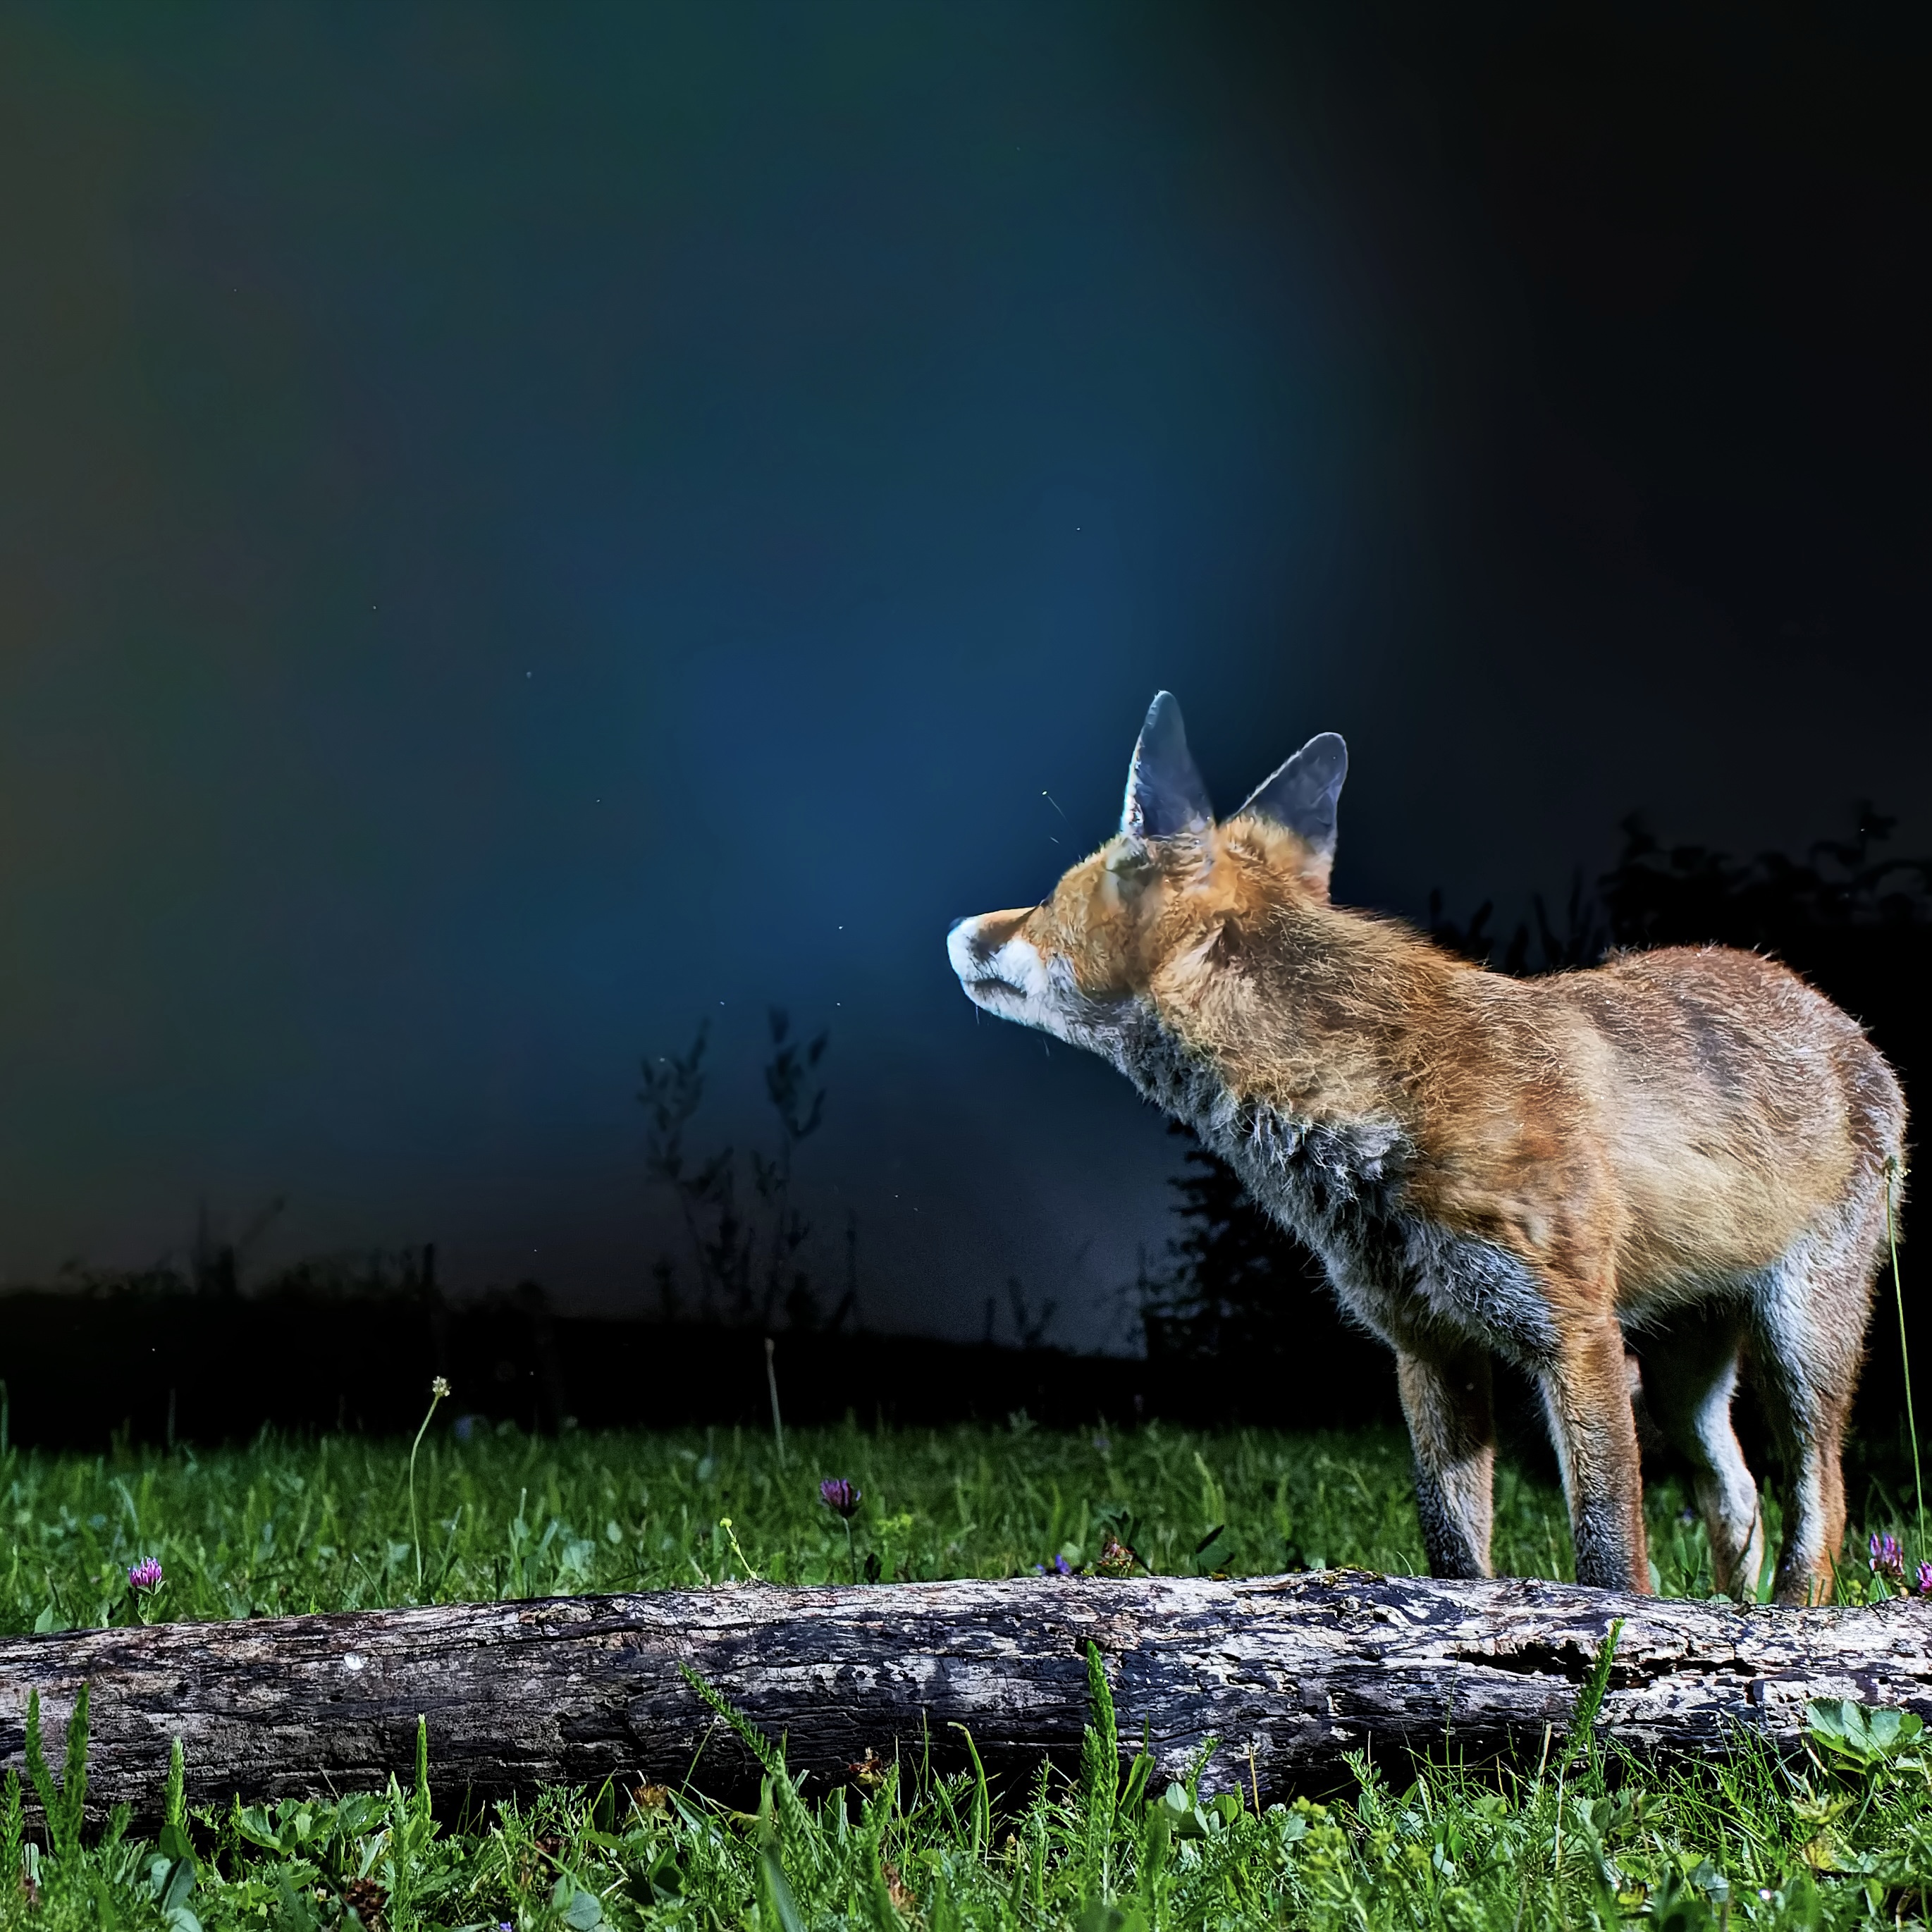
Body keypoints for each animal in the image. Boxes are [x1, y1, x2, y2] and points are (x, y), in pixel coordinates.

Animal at [942, 695, 1909, 1599]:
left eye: (1044, 902)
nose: (956, 930)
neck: (1371, 1124)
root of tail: (1834, 1014)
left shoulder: (1575, 1337)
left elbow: (1608, 1553)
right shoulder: (1426, 1347)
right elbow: (1452, 1554)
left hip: (1799, 1345)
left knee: (1820, 1496)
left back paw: (1789, 1620)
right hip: (1683, 1377)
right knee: (1735, 1489)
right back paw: (1732, 1616)